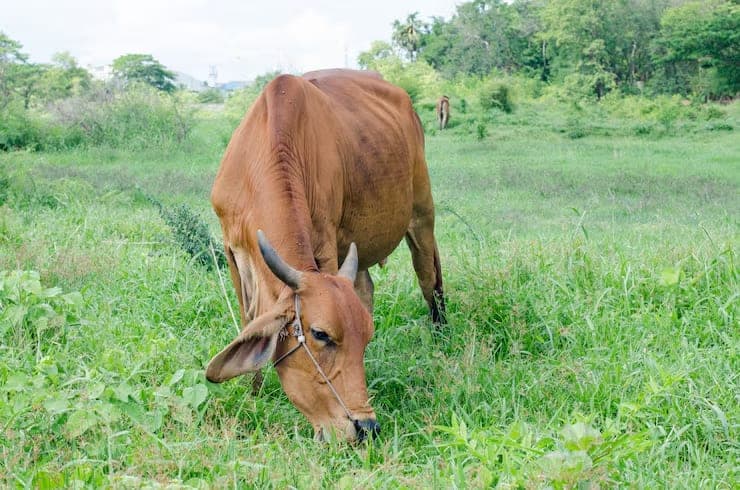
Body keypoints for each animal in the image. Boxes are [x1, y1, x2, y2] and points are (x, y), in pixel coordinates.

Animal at [205, 69, 445, 442]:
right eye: (320, 335)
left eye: (365, 339)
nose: (366, 427)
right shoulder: (233, 251)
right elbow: (249, 320)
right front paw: (253, 393)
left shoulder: (327, 244)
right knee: (367, 287)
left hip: (421, 214)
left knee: (429, 278)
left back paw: (441, 337)